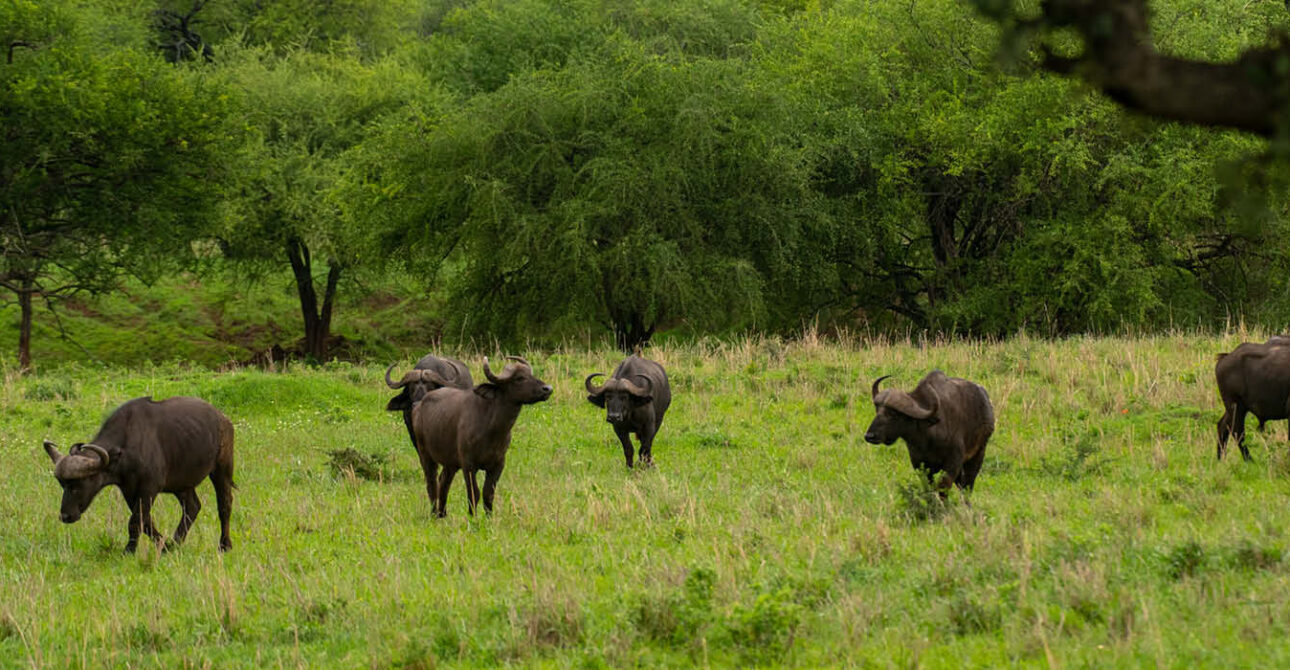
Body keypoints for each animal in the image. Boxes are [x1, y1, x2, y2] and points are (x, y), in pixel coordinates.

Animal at [43, 396, 235, 552]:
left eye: (79, 483)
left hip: (222, 469)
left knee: (224, 505)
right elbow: (145, 521)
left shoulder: (149, 489)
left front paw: (129, 550)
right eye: (62, 485)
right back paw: (176, 543)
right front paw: (164, 545)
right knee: (192, 506)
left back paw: (224, 545)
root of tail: (223, 419)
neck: (125, 448)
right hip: (181, 483)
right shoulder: (129, 490)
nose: (66, 516)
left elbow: (135, 522)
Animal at [386, 356, 551, 517]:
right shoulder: (469, 465)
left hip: (450, 463)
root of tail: (419, 405)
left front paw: (489, 517)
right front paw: (473, 517)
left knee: (443, 481)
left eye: (530, 374)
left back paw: (442, 513)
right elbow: (474, 493)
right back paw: (434, 513)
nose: (548, 389)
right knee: (431, 484)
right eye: (519, 378)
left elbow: (488, 493)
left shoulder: (498, 464)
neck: (492, 429)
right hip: (426, 456)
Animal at [864, 371, 994, 497]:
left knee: (967, 486)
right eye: (877, 410)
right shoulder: (919, 464)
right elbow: (929, 487)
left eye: (893, 414)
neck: (926, 438)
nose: (870, 436)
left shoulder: (953, 462)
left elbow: (943, 487)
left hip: (978, 454)